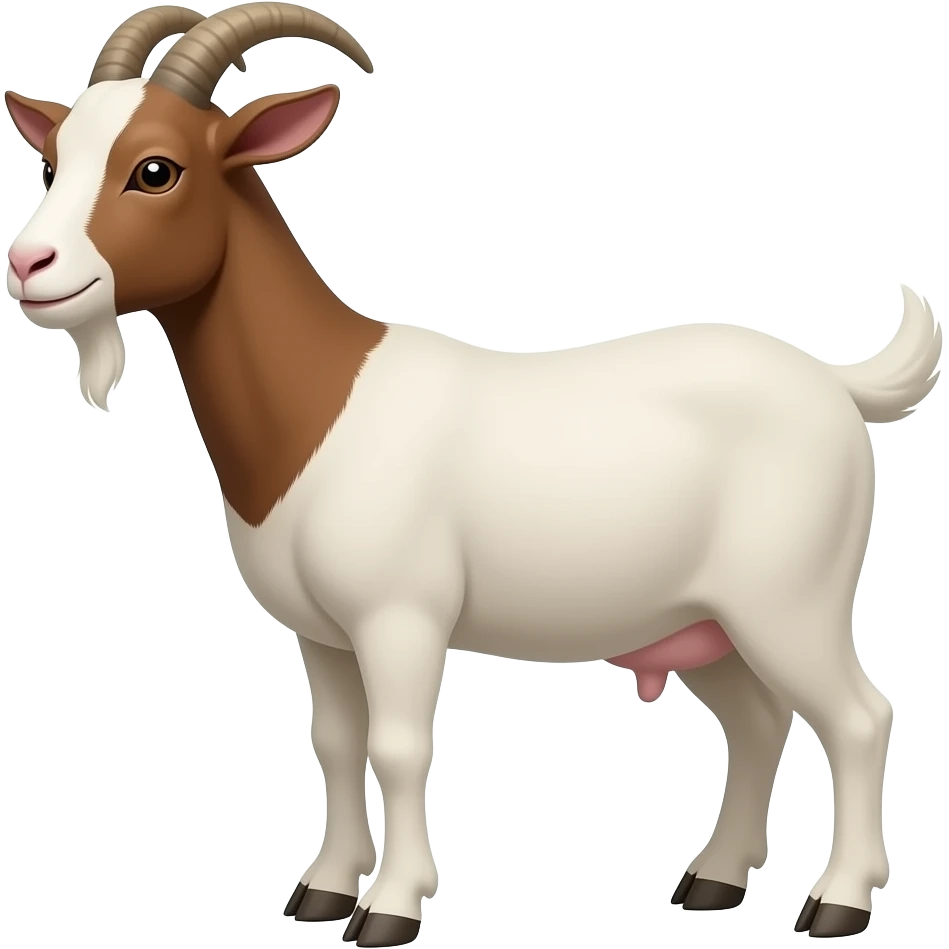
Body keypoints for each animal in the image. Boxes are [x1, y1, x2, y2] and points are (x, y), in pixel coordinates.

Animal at [2, 3, 940, 944]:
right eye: (54, 158)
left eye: (155, 169)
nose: (27, 263)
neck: (323, 399)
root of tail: (835, 384)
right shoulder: (322, 632)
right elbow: (334, 742)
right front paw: (323, 890)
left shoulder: (399, 615)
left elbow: (398, 746)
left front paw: (388, 907)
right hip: (704, 617)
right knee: (757, 720)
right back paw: (712, 878)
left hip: (791, 598)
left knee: (859, 717)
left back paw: (839, 901)